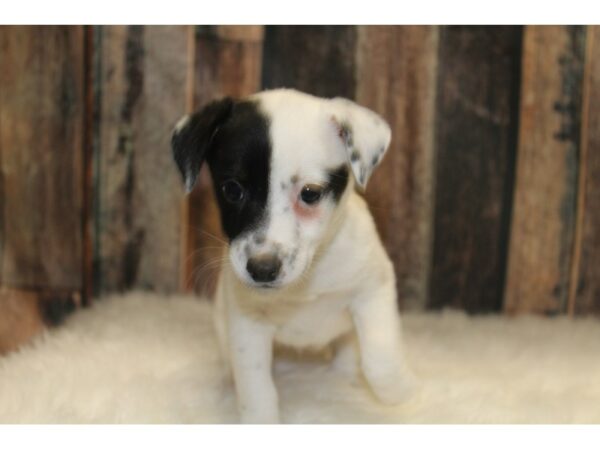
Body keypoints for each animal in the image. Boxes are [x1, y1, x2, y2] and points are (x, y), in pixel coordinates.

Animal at [172, 87, 418, 422]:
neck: (309, 276)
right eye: (232, 190)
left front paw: (401, 391)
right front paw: (260, 420)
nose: (262, 269)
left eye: (310, 193)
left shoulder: (373, 289)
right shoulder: (247, 323)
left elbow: (380, 360)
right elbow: (257, 388)